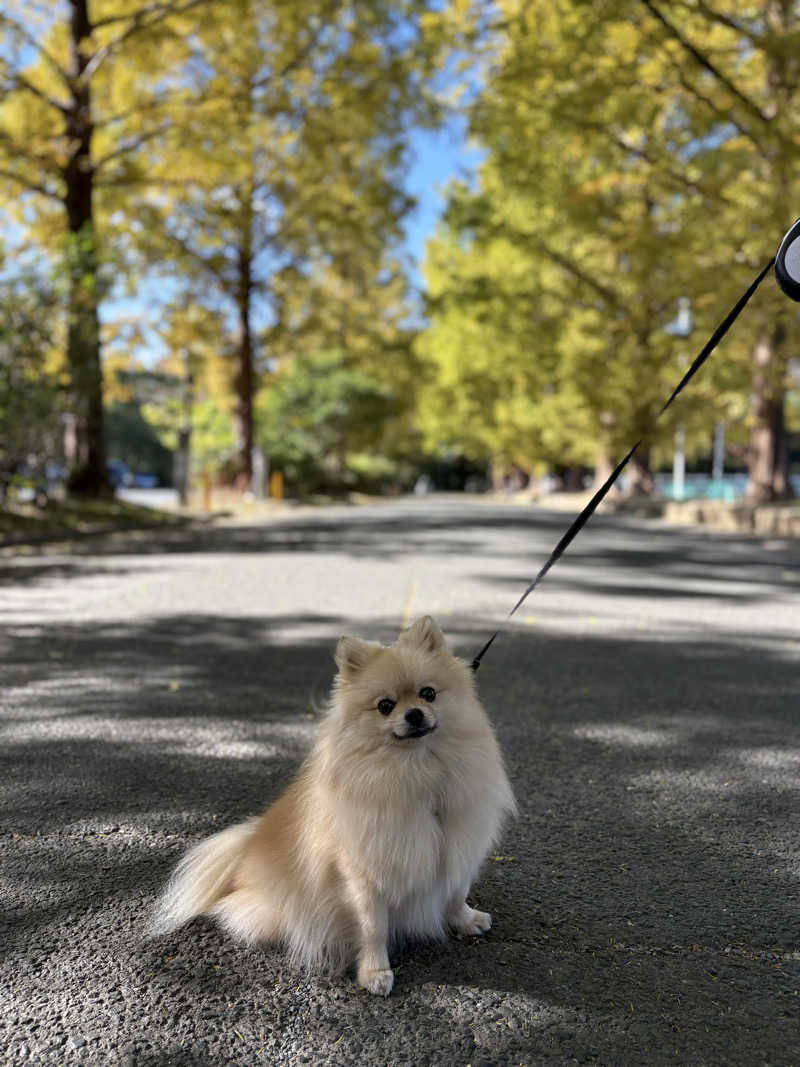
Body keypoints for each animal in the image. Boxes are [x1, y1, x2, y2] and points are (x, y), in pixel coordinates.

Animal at [152, 614, 516, 994]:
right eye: (385, 706)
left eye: (428, 693)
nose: (415, 714)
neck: (416, 772)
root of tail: (245, 851)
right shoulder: (364, 874)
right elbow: (374, 927)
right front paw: (375, 972)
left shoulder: (456, 845)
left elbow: (455, 891)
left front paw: (465, 919)